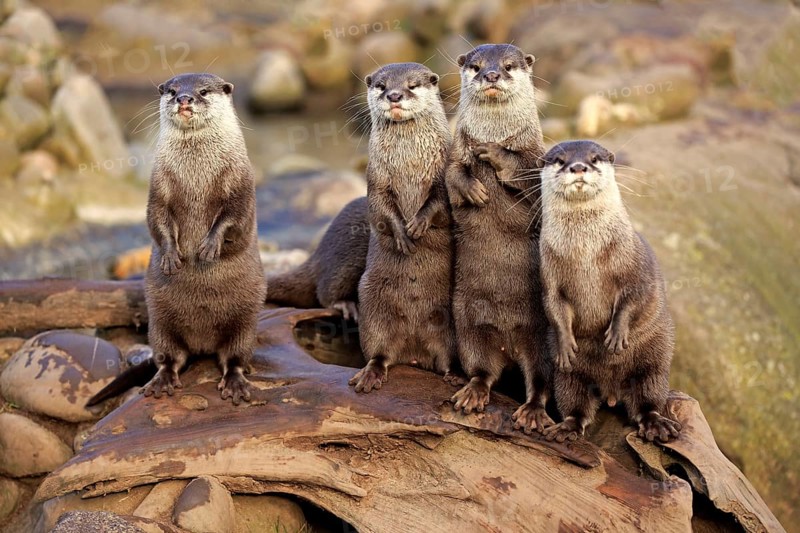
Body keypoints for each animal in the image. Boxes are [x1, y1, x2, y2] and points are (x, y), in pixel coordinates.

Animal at [142, 72, 265, 405]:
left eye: (204, 91)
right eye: (172, 90)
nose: (184, 98)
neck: (196, 173)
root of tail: (202, 343)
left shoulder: (241, 182)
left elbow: (235, 218)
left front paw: (209, 247)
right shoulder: (158, 186)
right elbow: (156, 219)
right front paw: (171, 256)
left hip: (245, 322)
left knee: (234, 357)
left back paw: (235, 383)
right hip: (159, 322)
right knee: (169, 357)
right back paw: (161, 380)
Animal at [349, 62, 458, 393]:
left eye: (412, 85)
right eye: (382, 85)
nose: (394, 95)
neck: (409, 162)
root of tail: (413, 352)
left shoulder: (443, 171)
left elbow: (440, 202)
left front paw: (418, 224)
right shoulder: (376, 176)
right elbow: (381, 207)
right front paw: (402, 234)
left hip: (448, 328)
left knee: (445, 357)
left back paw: (453, 376)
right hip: (372, 309)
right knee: (379, 352)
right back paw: (371, 373)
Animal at [447, 44, 553, 433]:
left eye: (508, 66)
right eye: (476, 65)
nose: (491, 75)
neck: (495, 131)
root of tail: (509, 344)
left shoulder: (536, 156)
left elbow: (522, 168)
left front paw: (494, 153)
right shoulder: (455, 151)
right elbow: (452, 173)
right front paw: (473, 189)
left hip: (543, 338)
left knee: (540, 380)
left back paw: (532, 412)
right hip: (467, 324)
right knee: (483, 370)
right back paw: (471, 392)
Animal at [538, 140, 681, 443]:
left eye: (594, 158)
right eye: (560, 160)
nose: (578, 167)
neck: (587, 254)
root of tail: (611, 391)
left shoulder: (636, 264)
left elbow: (634, 296)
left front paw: (616, 334)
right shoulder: (548, 271)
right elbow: (553, 305)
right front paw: (566, 344)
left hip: (656, 358)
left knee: (648, 396)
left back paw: (656, 424)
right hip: (569, 377)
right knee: (575, 401)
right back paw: (566, 427)